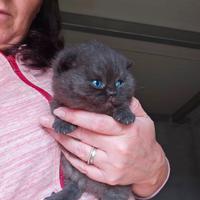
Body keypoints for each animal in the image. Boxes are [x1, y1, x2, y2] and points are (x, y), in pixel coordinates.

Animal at [45, 41, 136, 200]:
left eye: (119, 83)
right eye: (97, 83)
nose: (112, 92)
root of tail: (88, 184)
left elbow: (123, 103)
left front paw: (125, 114)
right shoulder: (56, 100)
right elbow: (58, 109)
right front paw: (63, 124)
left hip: (118, 187)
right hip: (70, 169)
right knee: (74, 185)